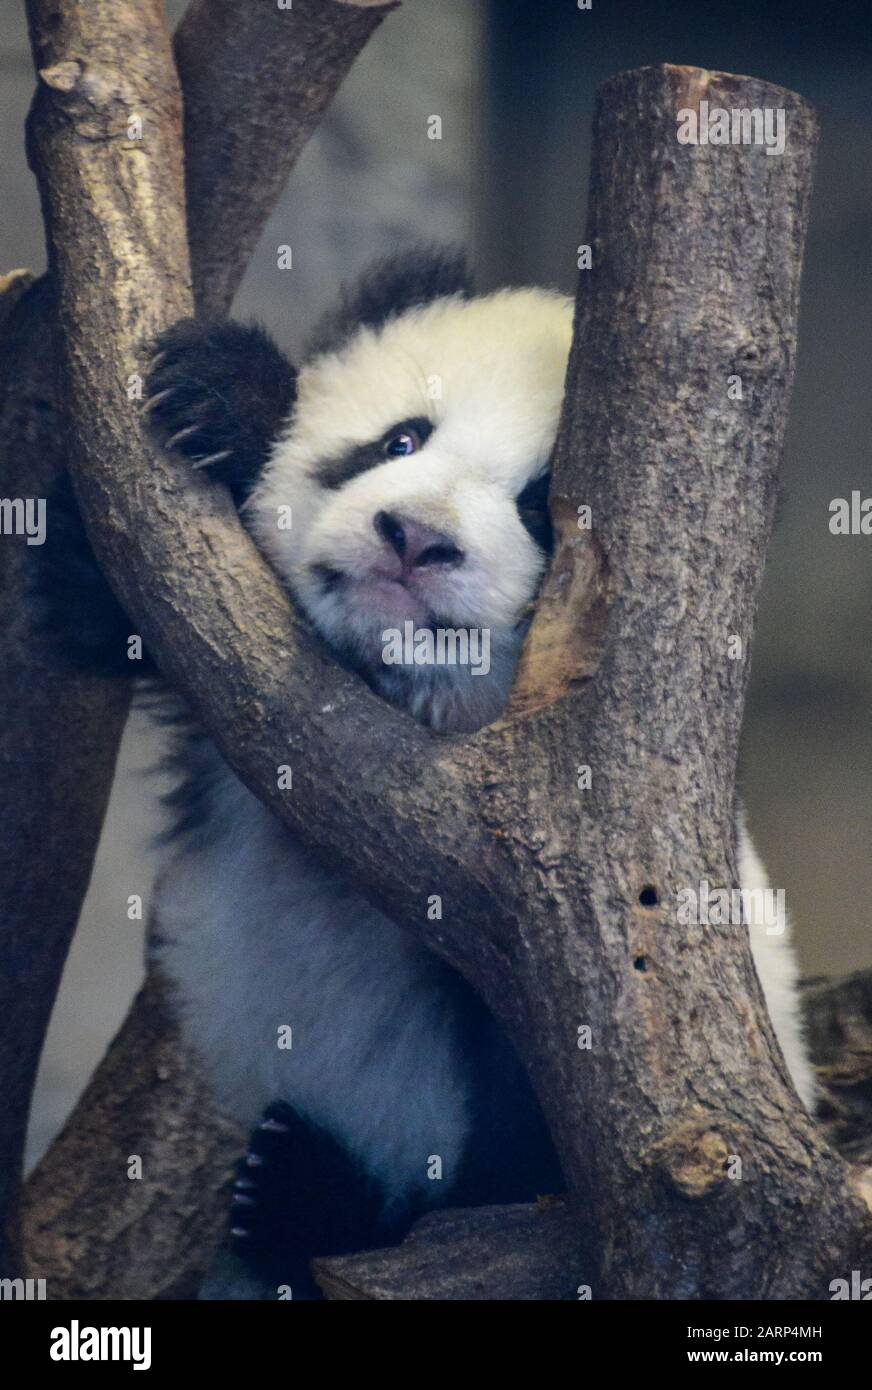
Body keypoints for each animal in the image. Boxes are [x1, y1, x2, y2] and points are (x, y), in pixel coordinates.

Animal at [43, 246, 816, 1299]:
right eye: (400, 439)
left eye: (539, 509)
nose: (413, 537)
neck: (405, 697)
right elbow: (94, 595)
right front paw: (220, 400)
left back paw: (306, 1192)